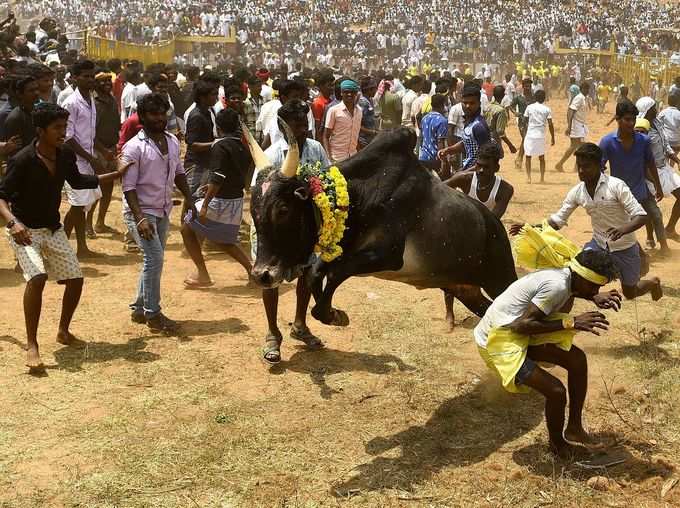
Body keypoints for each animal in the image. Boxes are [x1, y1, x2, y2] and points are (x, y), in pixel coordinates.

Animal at [247, 125, 516, 328]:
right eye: (253, 210)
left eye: (283, 209)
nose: (262, 275)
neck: (360, 197)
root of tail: (494, 225)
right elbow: (315, 273)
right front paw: (334, 314)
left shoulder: (389, 257)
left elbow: (336, 273)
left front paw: (331, 314)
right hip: (464, 288)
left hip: (500, 279)